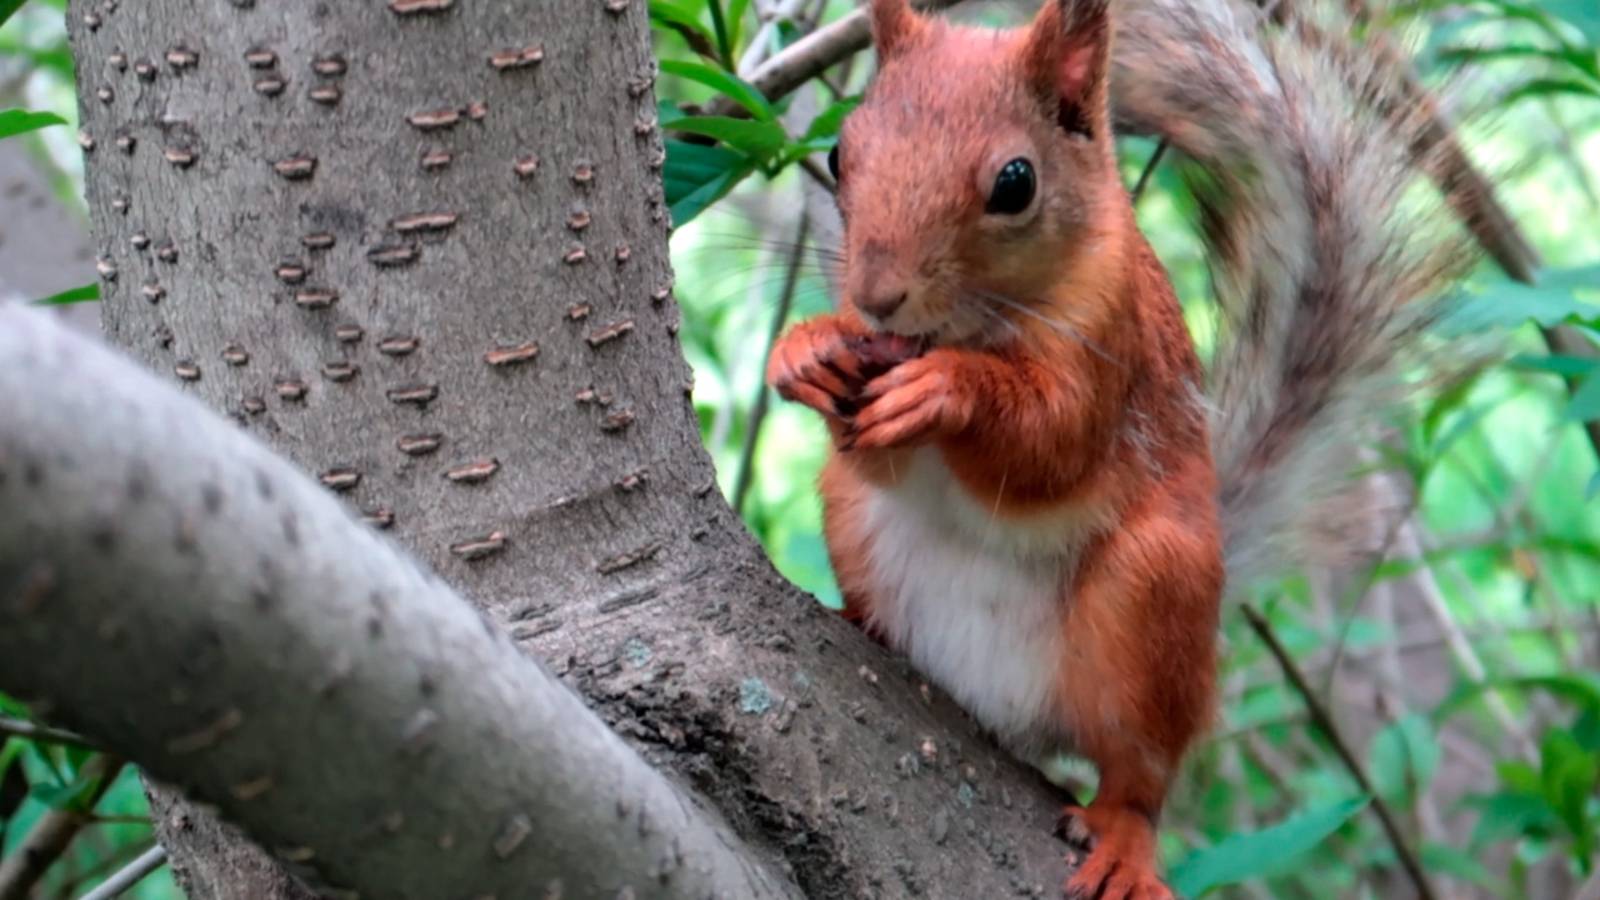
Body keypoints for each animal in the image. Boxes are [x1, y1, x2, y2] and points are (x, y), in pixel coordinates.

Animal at [766, 0, 1476, 897]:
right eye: (837, 151)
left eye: (1015, 183)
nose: (877, 297)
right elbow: (875, 456)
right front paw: (806, 348)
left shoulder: (1113, 341)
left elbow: (1050, 445)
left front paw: (950, 390)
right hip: (853, 520)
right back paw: (855, 622)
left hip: (1153, 593)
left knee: (1141, 775)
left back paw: (1125, 844)